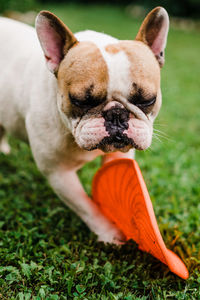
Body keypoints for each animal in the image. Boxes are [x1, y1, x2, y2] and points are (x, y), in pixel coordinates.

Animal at [0, 7, 169, 245]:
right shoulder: (59, 174)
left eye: (147, 99)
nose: (116, 114)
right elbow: (87, 207)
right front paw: (110, 233)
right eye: (80, 100)